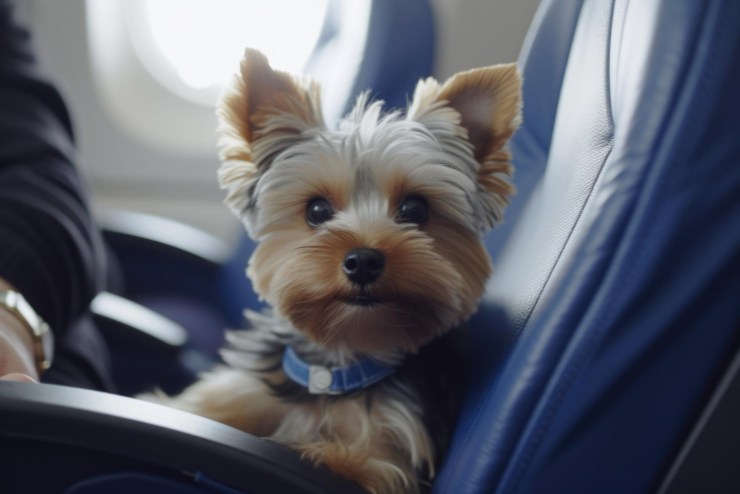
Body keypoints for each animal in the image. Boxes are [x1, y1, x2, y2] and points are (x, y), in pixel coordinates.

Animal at [158, 48, 520, 492]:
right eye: (317, 210)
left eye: (415, 209)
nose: (363, 260)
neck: (340, 365)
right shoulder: (241, 393)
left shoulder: (387, 457)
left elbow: (349, 461)